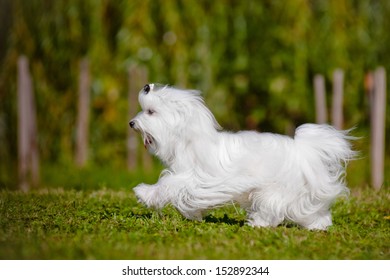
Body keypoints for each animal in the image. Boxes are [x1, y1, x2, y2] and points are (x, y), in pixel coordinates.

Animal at [129, 83, 354, 230]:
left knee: (273, 208)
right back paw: (318, 225)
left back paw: (258, 224)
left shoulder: (195, 178)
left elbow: (169, 184)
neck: (188, 138)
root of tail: (303, 151)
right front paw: (193, 214)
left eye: (150, 112)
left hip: (276, 190)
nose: (131, 123)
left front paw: (144, 193)